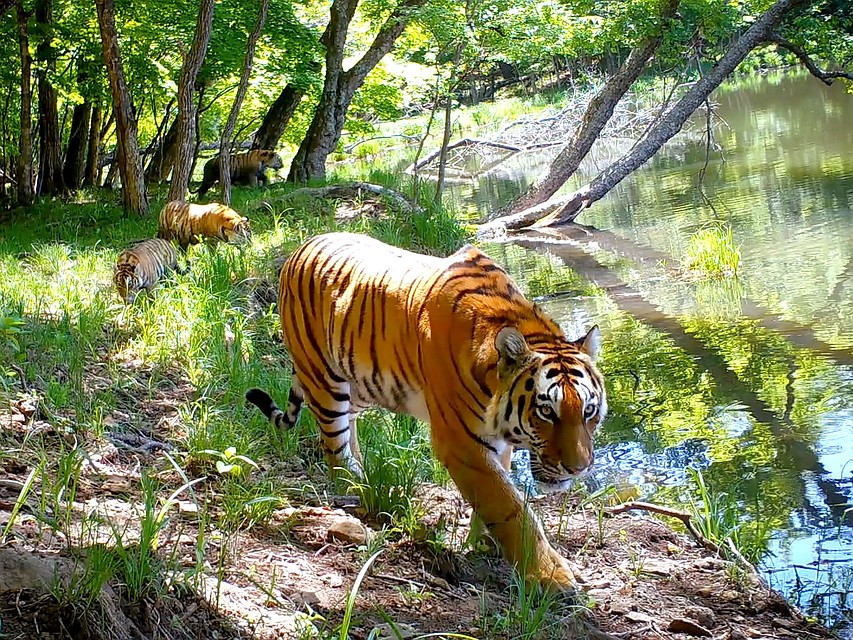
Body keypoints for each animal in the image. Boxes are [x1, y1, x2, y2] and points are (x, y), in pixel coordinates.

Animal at [243, 232, 608, 592]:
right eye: (546, 411)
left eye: (589, 410)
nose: (579, 469)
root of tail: (301, 247)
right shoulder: (460, 442)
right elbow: (509, 505)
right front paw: (550, 576)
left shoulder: (495, 441)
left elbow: (499, 491)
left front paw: (484, 543)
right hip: (324, 381)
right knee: (335, 450)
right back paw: (357, 491)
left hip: (360, 386)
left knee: (350, 430)